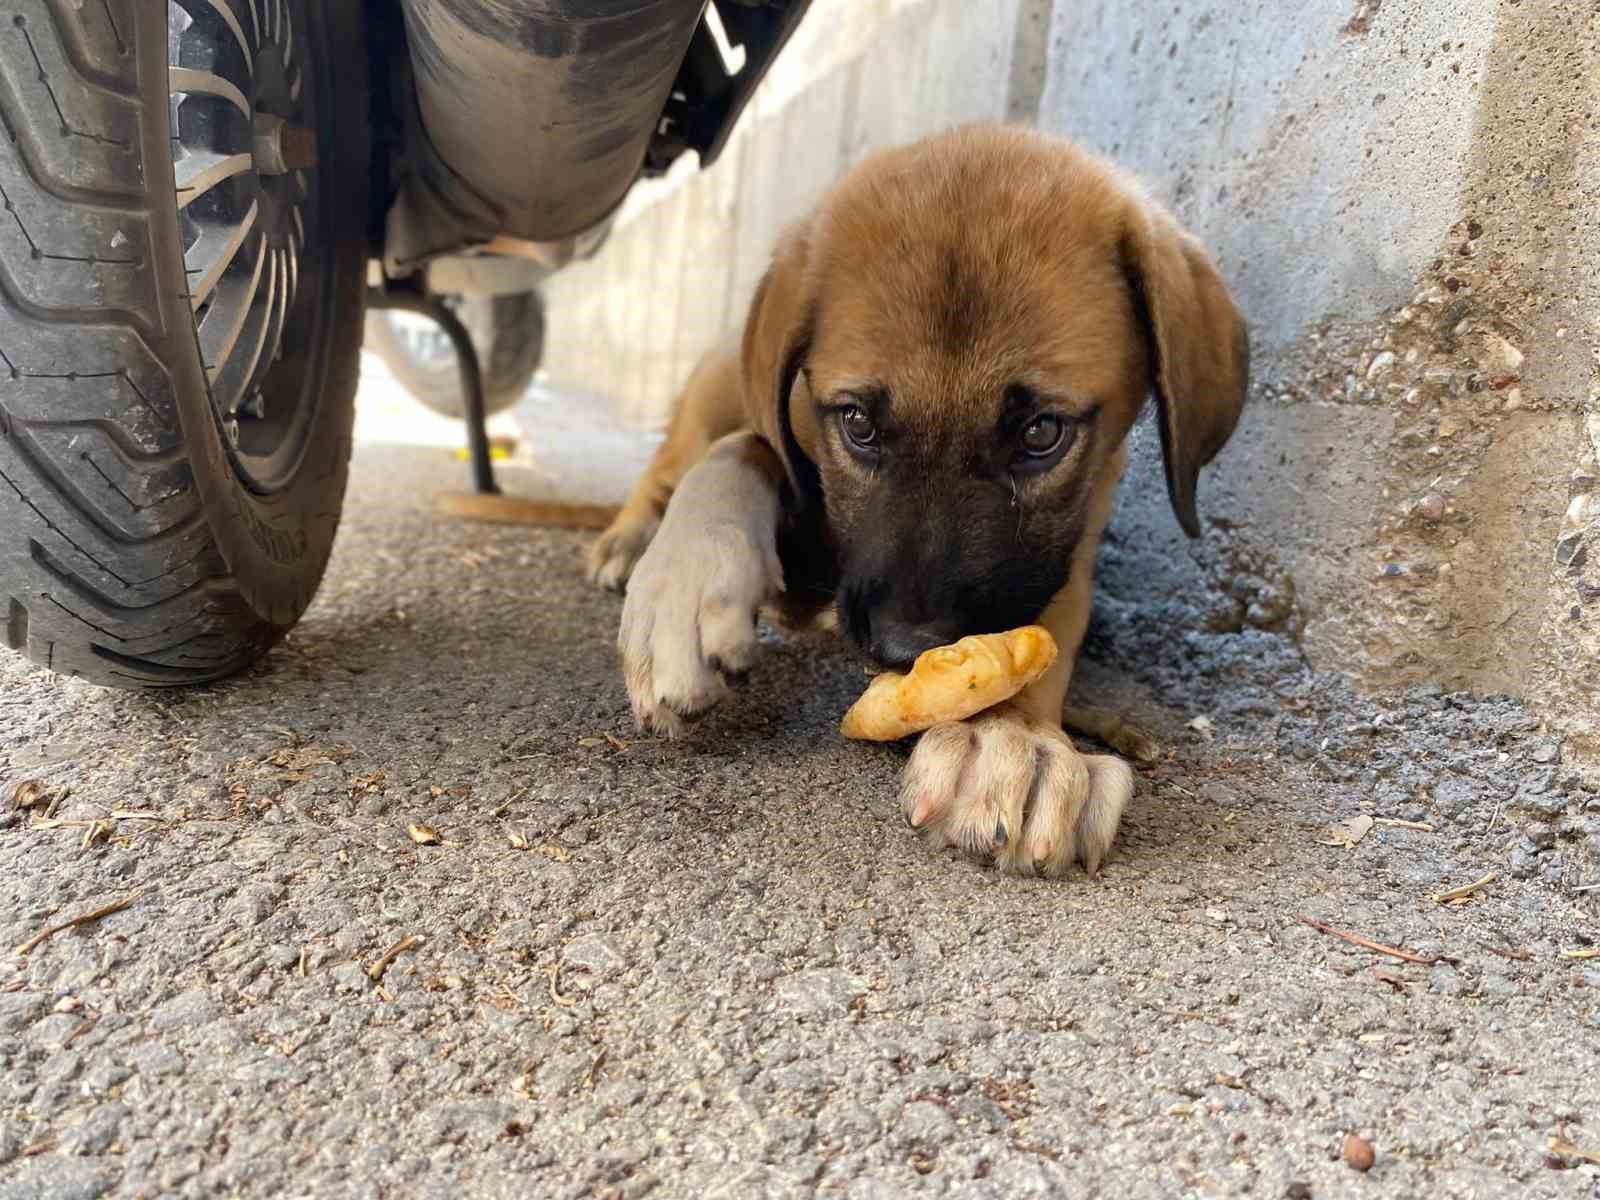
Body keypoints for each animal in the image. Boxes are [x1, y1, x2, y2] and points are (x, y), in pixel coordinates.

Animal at [588, 122, 1248, 876]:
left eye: (1041, 433)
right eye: (857, 423)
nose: (905, 652)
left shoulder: (1067, 556)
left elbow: (1039, 633)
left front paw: (1012, 736)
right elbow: (746, 447)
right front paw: (686, 588)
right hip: (719, 374)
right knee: (679, 453)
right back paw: (632, 539)